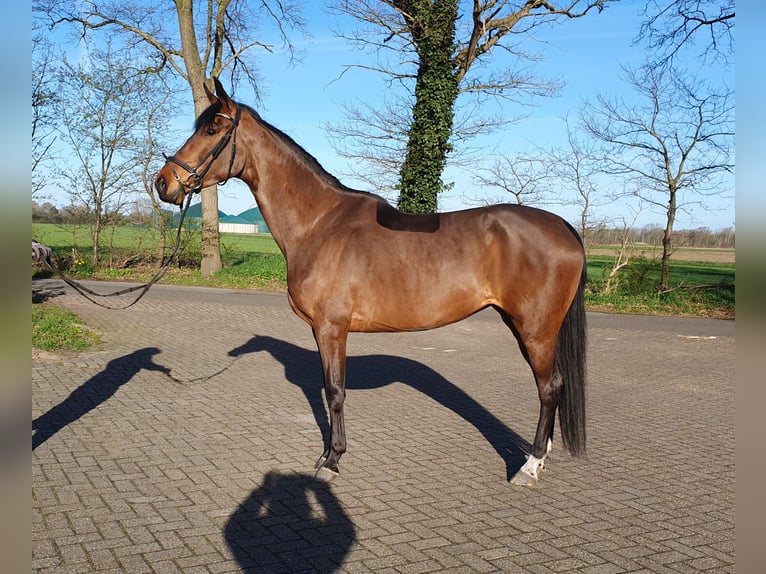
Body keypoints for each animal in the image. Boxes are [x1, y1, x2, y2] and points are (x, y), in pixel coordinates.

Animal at [155, 79, 587, 486]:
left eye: (212, 129)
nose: (163, 183)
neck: (320, 224)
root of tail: (564, 228)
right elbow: (329, 389)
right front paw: (328, 454)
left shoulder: (331, 328)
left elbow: (335, 392)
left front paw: (332, 461)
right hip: (523, 326)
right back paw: (540, 456)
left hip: (536, 329)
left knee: (550, 387)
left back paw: (529, 466)